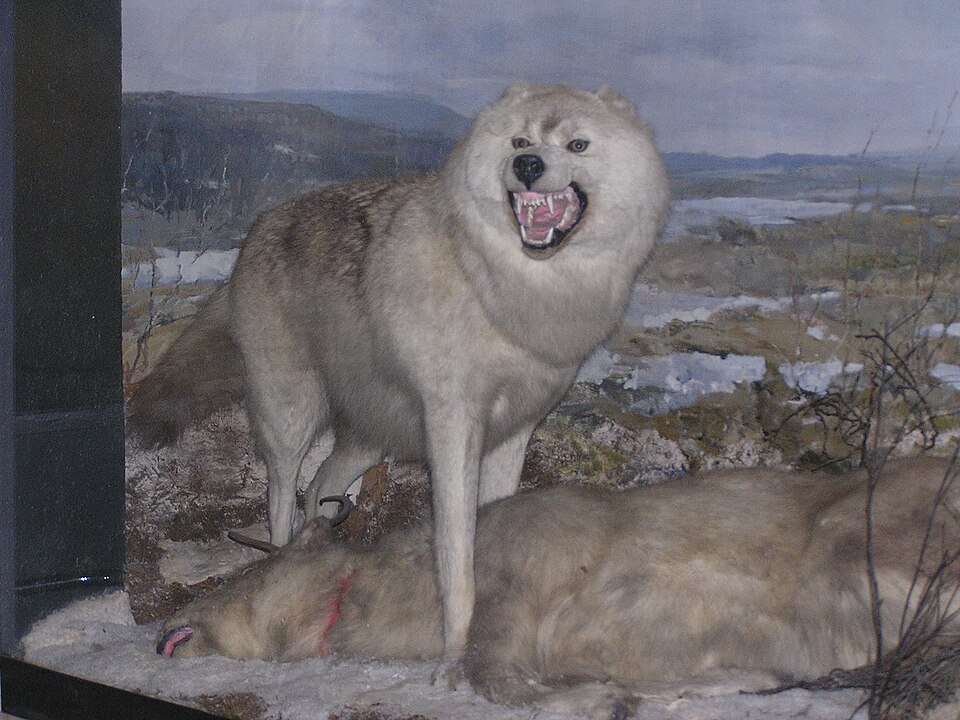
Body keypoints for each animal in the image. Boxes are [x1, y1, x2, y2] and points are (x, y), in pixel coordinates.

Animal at [128, 82, 670, 661]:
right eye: (520, 141)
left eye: (577, 144)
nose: (526, 165)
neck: (510, 291)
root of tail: (258, 229)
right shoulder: (454, 425)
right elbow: (456, 549)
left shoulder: (515, 431)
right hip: (292, 414)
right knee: (281, 499)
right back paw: (282, 554)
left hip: (370, 437)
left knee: (319, 486)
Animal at [157, 456, 960, 717]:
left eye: (247, 568)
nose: (166, 628)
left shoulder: (519, 581)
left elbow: (493, 676)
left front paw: (602, 698)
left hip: (867, 532)